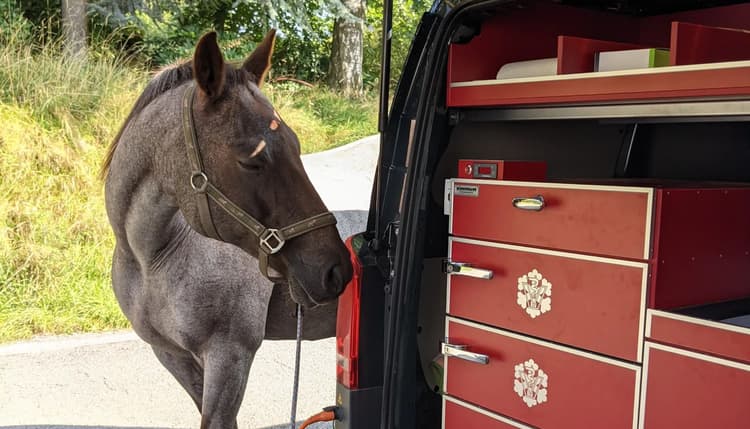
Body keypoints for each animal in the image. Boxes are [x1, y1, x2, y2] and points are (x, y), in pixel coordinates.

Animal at [101, 30, 353, 428]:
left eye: (296, 147)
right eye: (251, 160)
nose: (335, 269)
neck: (154, 258)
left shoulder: (230, 355)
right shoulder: (171, 355)